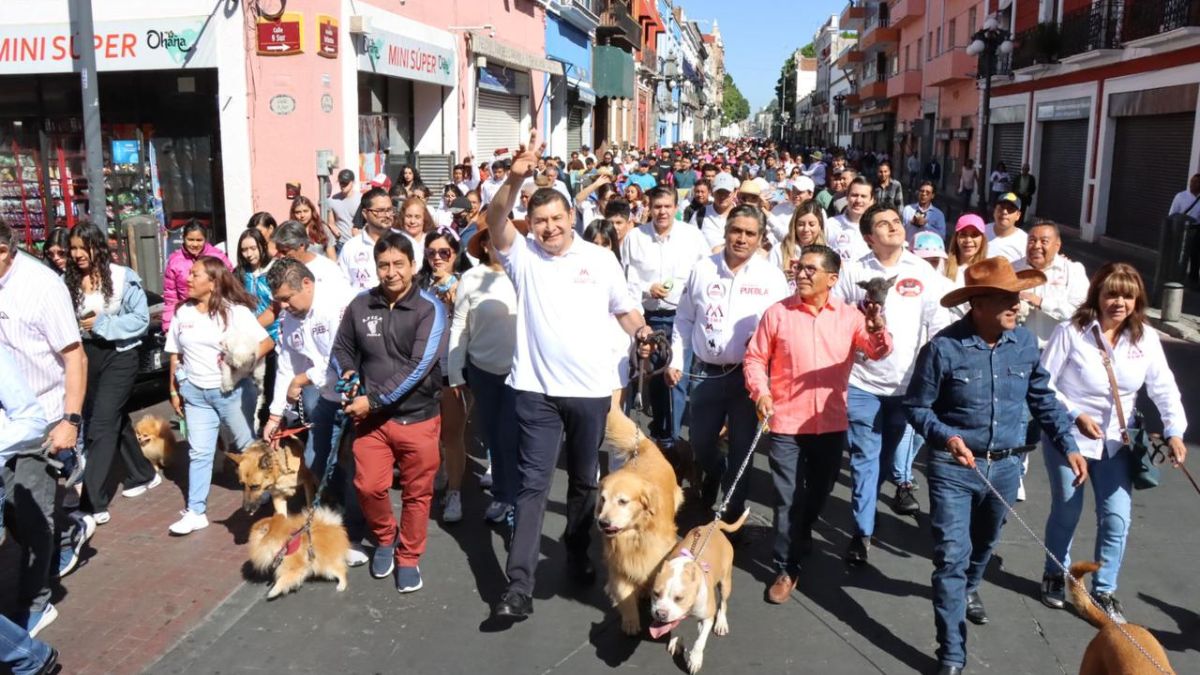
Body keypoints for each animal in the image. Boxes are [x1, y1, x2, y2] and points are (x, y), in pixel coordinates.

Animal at [597, 408, 684, 636]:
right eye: (602, 499)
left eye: (623, 501)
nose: (603, 523)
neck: (636, 534)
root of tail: (645, 446)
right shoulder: (619, 562)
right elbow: (624, 592)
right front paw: (630, 621)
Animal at [648, 510, 749, 674]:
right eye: (655, 593)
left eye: (679, 598)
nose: (661, 614)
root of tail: (713, 525)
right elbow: (676, 624)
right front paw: (676, 640)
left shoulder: (707, 617)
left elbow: (700, 641)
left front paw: (695, 658)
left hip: (725, 582)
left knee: (723, 603)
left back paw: (721, 623)